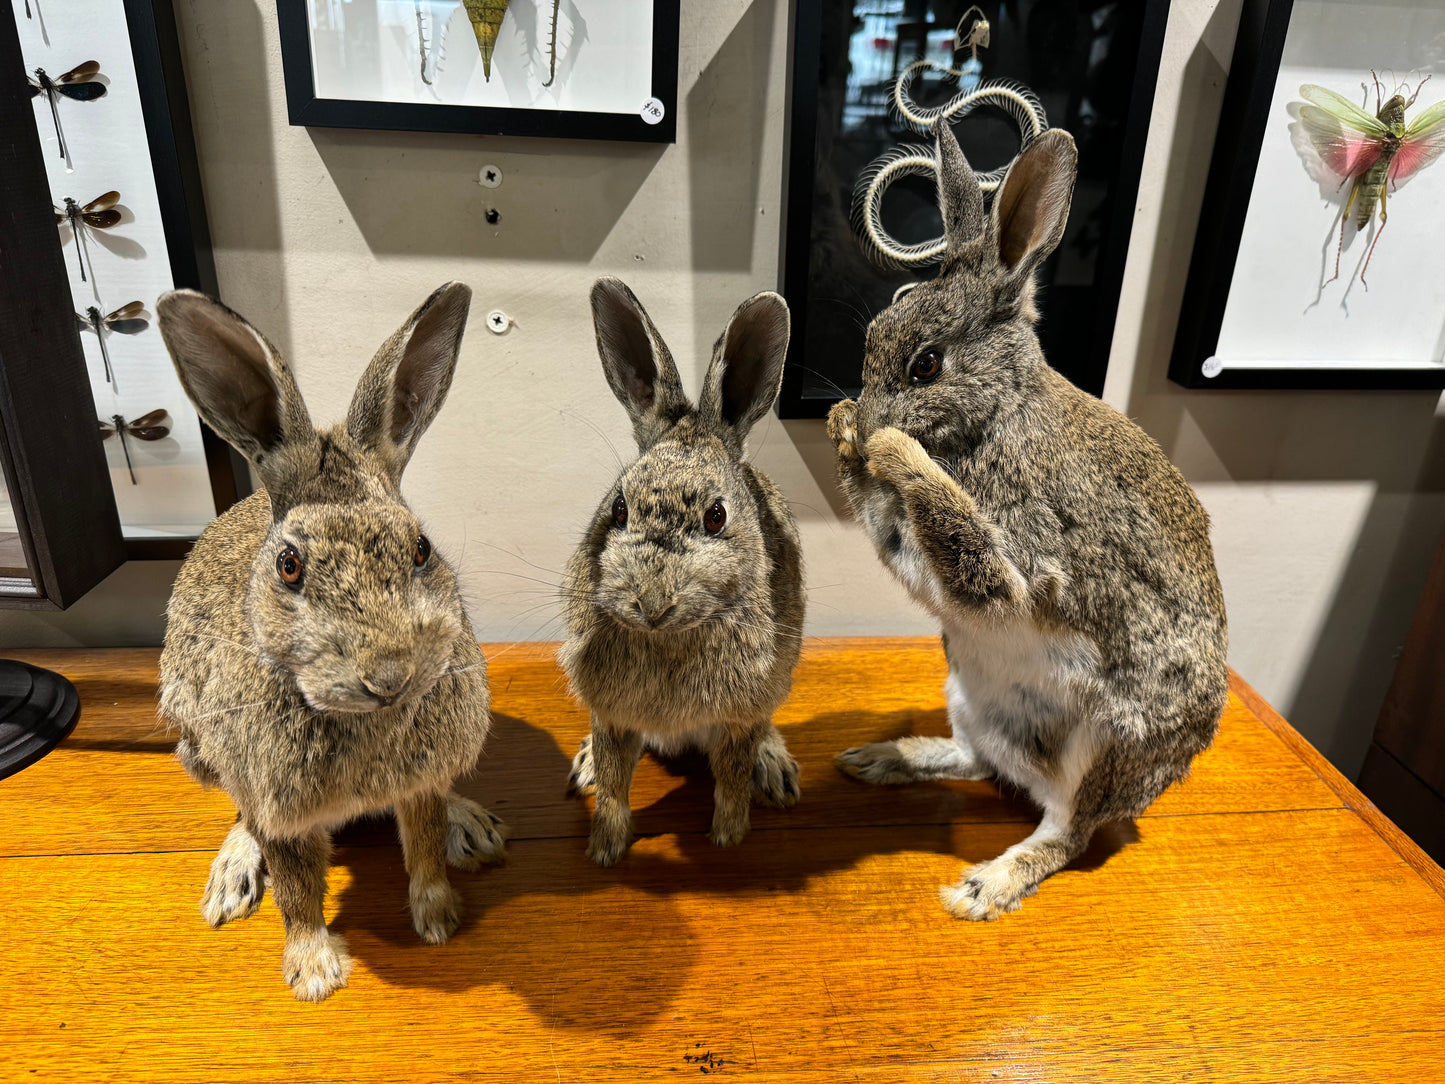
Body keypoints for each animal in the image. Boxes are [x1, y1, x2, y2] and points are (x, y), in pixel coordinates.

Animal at [156, 281, 505, 1000]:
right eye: (289, 565)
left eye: (421, 548)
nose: (390, 674)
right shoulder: (282, 810)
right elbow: (297, 891)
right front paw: (314, 972)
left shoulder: (420, 784)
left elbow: (424, 846)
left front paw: (438, 920)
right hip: (196, 747)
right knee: (238, 812)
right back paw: (230, 878)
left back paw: (473, 825)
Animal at [554, 277, 803, 867]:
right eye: (619, 508)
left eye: (716, 516)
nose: (650, 604)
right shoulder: (611, 712)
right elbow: (616, 781)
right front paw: (605, 850)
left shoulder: (740, 715)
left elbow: (731, 776)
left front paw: (728, 838)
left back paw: (776, 769)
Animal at [832, 127, 1225, 925]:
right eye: (879, 326)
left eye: (926, 365)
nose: (867, 414)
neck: (994, 412)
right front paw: (842, 426)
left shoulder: (1015, 562)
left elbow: (964, 546)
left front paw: (889, 447)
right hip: (967, 686)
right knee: (979, 760)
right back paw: (885, 758)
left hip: (1106, 745)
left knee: (1066, 835)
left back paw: (986, 886)